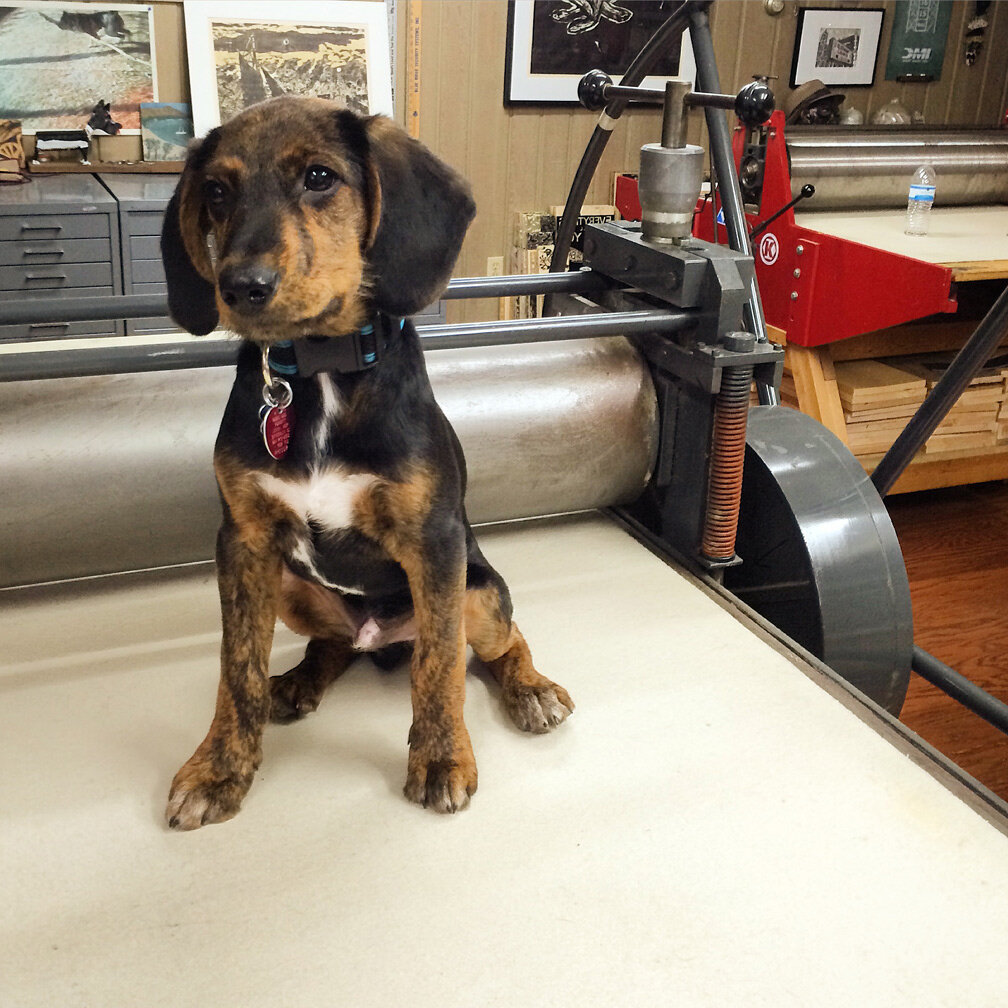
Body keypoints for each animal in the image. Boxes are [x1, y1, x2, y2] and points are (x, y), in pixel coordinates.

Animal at [162, 98, 580, 830]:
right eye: (214, 191)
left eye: (320, 177)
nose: (239, 286)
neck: (318, 371)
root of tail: (380, 639)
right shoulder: (242, 543)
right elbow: (235, 667)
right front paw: (218, 769)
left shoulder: (434, 544)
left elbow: (440, 668)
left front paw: (440, 760)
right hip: (294, 590)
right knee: (333, 646)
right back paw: (298, 682)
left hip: (477, 591)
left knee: (498, 642)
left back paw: (531, 689)